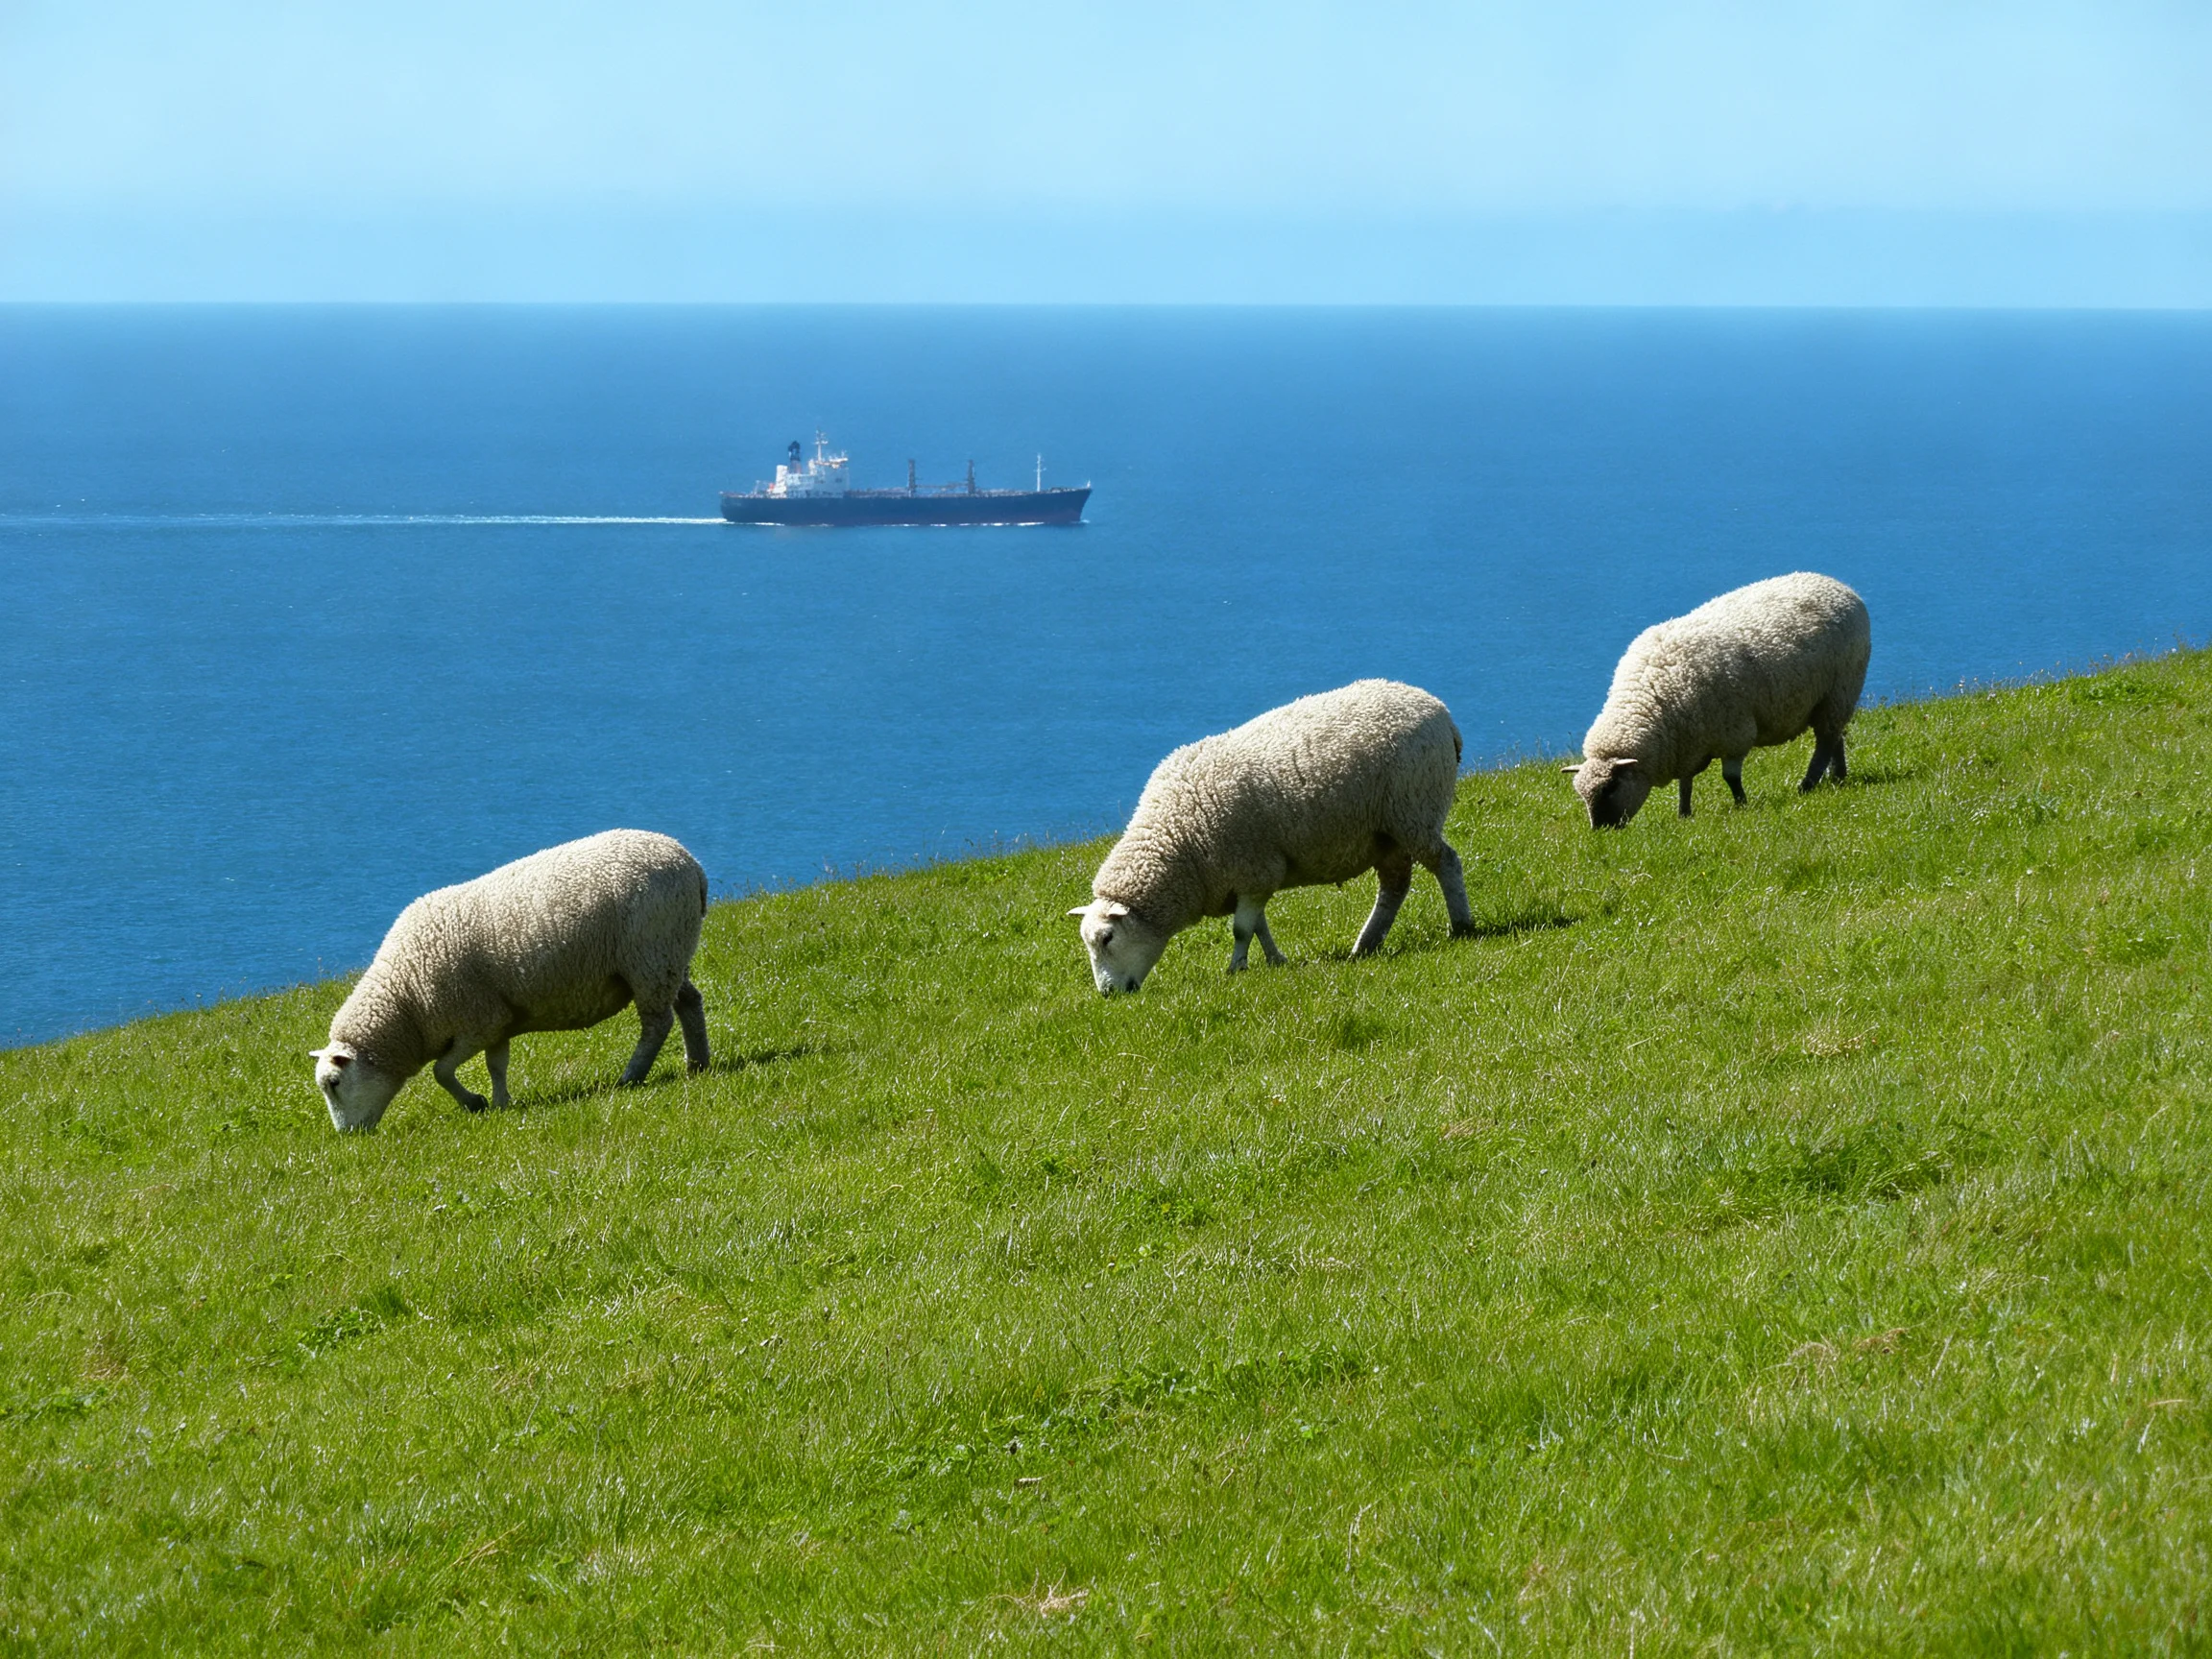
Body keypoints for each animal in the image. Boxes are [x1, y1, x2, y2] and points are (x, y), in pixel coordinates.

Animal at [311, 829, 711, 1131]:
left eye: (334, 1084)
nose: (348, 1135)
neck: (407, 1002)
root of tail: (689, 862)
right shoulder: (498, 1021)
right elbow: (496, 1065)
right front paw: (502, 1103)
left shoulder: (478, 1021)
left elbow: (441, 1071)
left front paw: (475, 1103)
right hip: (670, 955)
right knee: (689, 1002)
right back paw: (697, 1063)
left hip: (651, 956)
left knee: (656, 1023)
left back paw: (632, 1076)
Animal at [1069, 679, 1476, 994]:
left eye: (1107, 938)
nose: (1108, 994)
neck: (1180, 842)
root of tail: (1440, 711)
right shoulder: (1249, 877)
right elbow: (1258, 926)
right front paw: (1274, 959)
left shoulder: (1255, 869)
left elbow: (1241, 929)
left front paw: (1237, 968)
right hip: (1387, 833)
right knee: (1395, 886)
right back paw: (1365, 945)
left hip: (1414, 811)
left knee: (1447, 863)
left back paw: (1462, 926)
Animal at [1565, 571, 1871, 828]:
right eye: (1582, 794)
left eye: (1610, 788)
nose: (1600, 830)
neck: (1652, 698)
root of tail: (1838, 584)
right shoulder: (1688, 744)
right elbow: (1685, 783)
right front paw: (1684, 813)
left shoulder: (1735, 733)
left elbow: (1730, 778)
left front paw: (1741, 804)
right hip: (1828, 700)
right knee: (1834, 736)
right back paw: (1837, 776)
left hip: (1841, 688)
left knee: (1825, 742)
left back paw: (1808, 784)